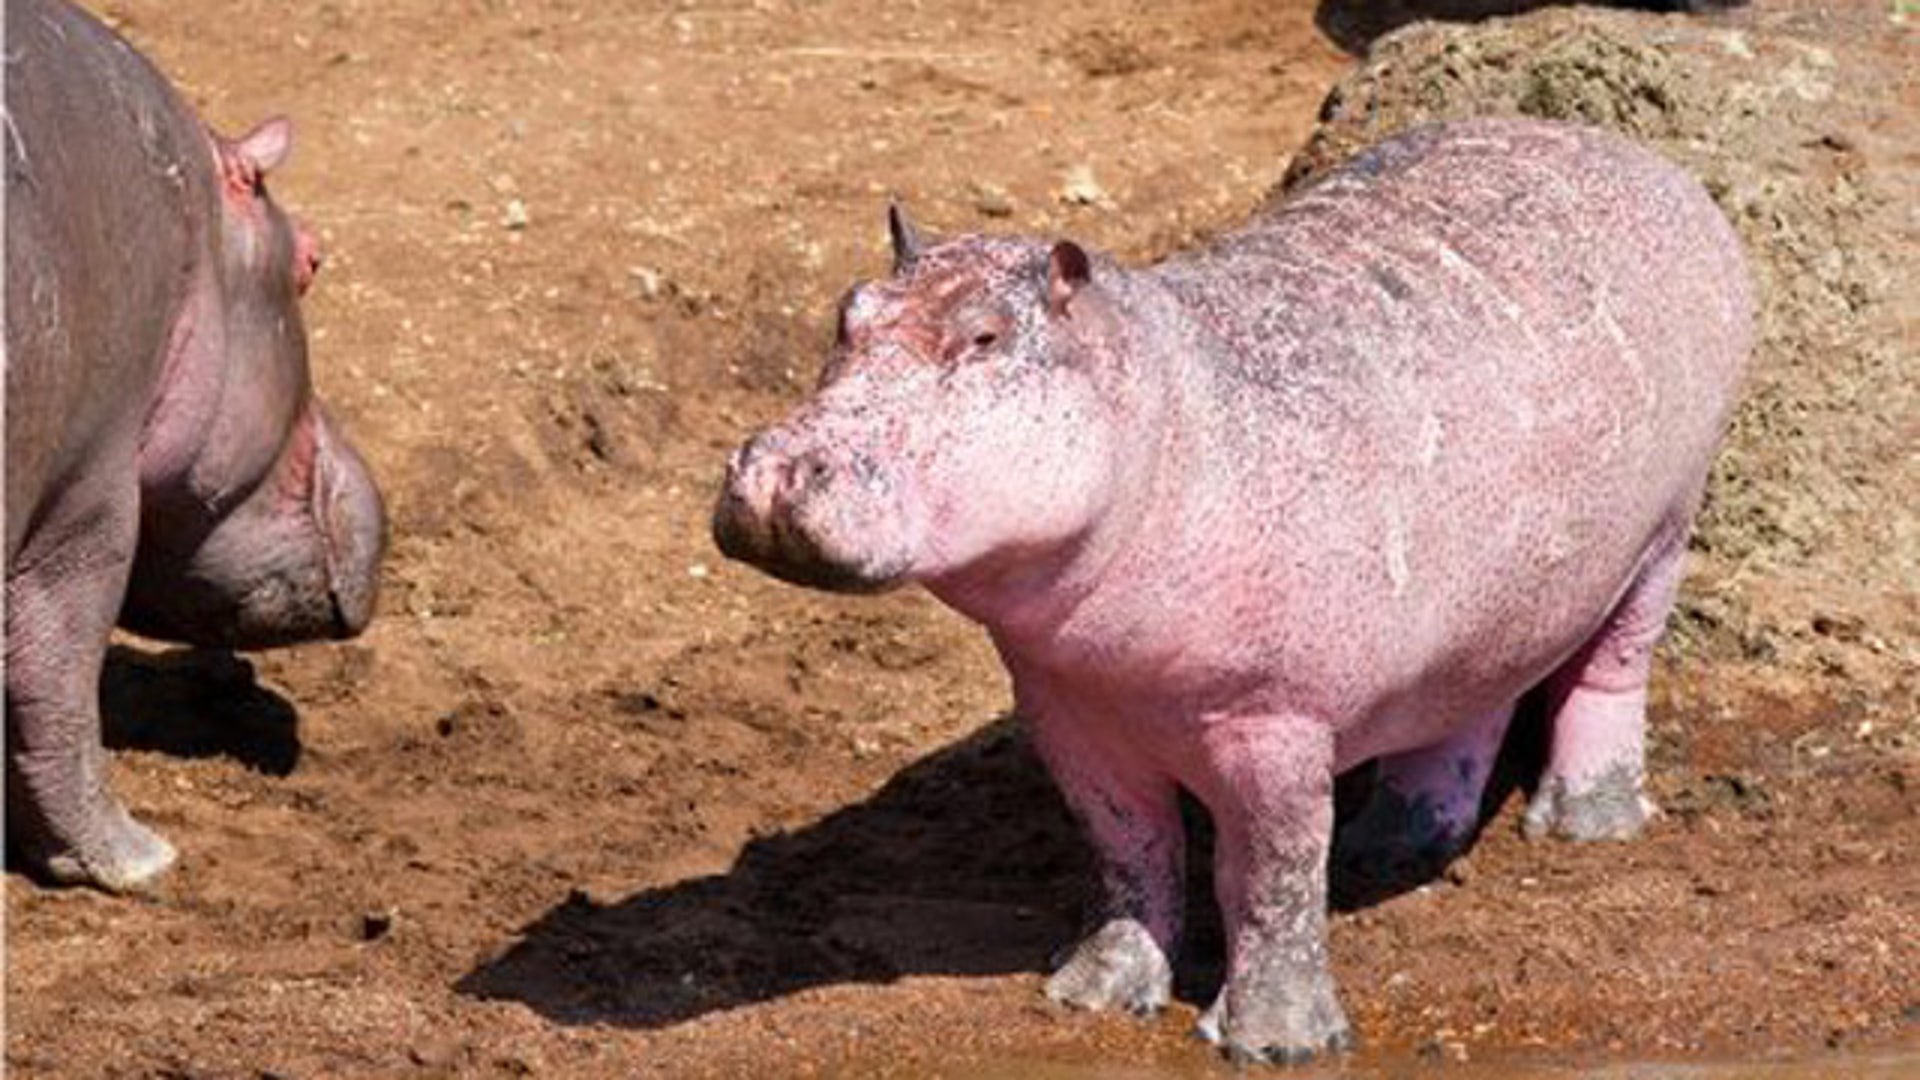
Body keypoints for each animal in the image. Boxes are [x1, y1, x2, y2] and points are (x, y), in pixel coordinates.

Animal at [713, 118, 1753, 1062]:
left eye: (983, 335)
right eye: (847, 312)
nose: (779, 468)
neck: (1163, 414)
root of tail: (1653, 165)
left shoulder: (1275, 720)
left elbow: (1271, 875)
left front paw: (1276, 1043)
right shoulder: (1071, 710)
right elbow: (1129, 853)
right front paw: (1090, 994)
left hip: (1666, 530)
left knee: (1611, 671)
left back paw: (1584, 825)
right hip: (1487, 605)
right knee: (1467, 707)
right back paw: (1391, 847)